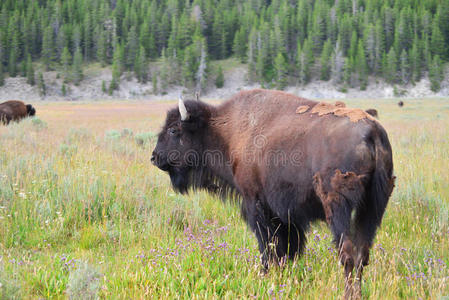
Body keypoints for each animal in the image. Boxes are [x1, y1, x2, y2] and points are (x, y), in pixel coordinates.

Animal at [152, 89, 394, 300]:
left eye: (174, 129)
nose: (155, 157)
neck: (225, 131)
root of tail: (372, 131)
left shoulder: (256, 204)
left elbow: (268, 247)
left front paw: (265, 277)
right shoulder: (287, 217)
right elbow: (288, 249)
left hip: (338, 207)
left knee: (348, 254)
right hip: (373, 207)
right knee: (362, 254)